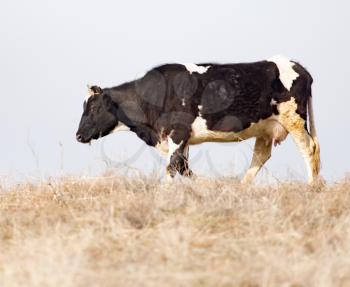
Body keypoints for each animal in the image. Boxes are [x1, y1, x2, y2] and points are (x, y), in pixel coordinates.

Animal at [76, 55, 320, 183]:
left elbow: (173, 167)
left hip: (294, 120)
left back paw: (311, 187)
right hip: (266, 129)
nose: (78, 135)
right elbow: (184, 167)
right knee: (260, 157)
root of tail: (298, 66)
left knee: (309, 149)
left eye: (94, 107)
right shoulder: (182, 138)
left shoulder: (177, 133)